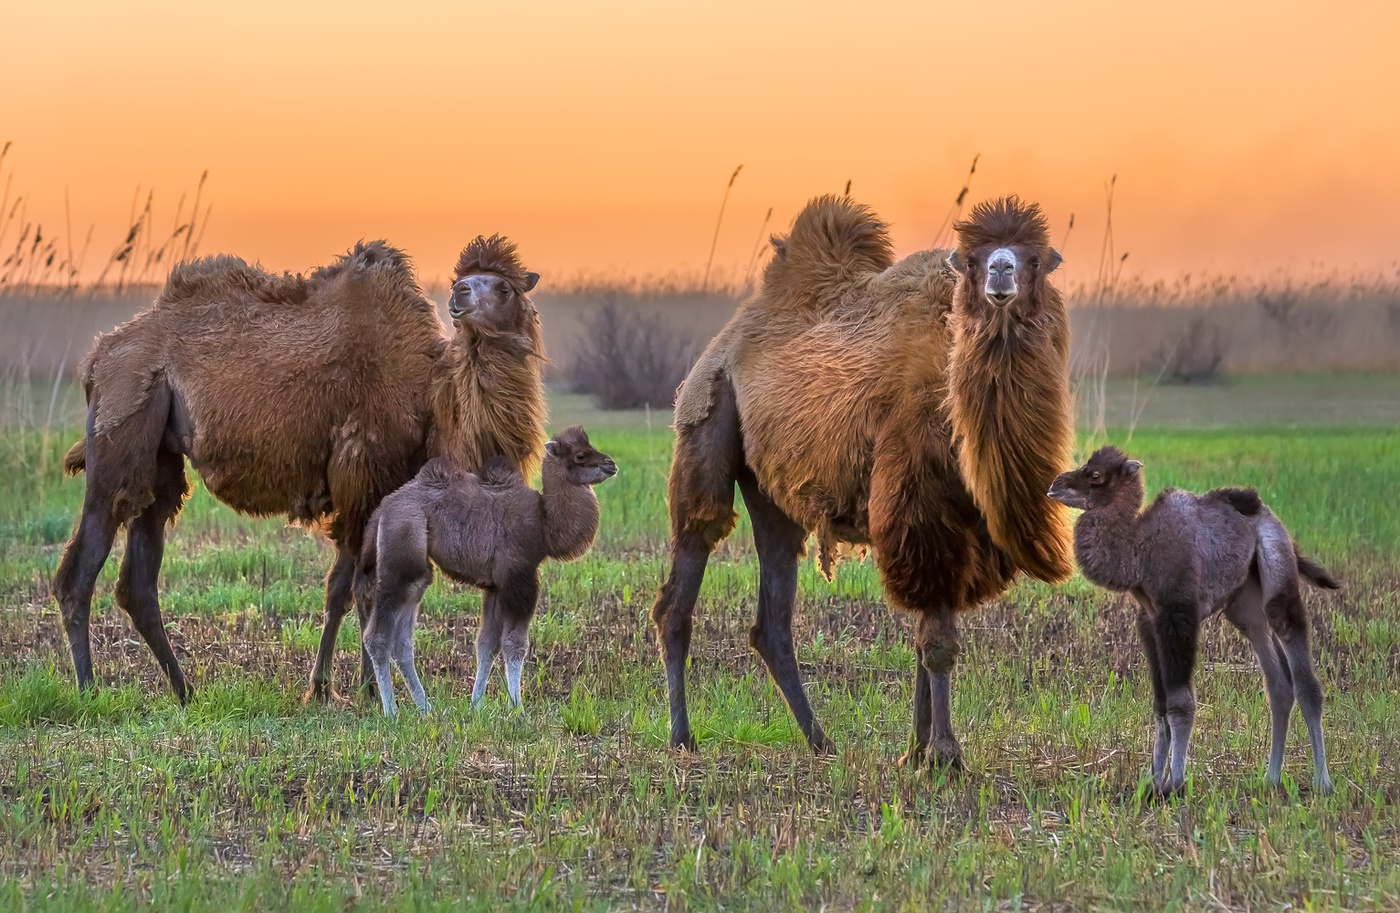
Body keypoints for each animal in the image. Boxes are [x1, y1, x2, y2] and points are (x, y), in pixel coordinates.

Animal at [57, 233, 546, 700]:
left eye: (504, 286)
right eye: (466, 280)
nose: (459, 294)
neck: (430, 401)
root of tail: (99, 359)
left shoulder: (365, 493)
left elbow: (339, 590)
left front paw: (325, 686)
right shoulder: (365, 480)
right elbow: (366, 589)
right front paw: (369, 690)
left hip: (160, 457)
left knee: (138, 576)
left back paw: (183, 691)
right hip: (122, 424)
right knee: (82, 565)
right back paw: (88, 688)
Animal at [358, 428, 616, 722]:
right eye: (580, 455)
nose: (611, 464)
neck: (544, 523)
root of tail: (382, 510)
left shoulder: (496, 586)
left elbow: (487, 645)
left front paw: (476, 705)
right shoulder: (519, 577)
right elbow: (515, 644)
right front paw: (518, 708)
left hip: (416, 573)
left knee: (402, 640)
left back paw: (425, 708)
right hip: (399, 553)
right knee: (378, 635)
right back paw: (391, 712)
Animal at [652, 196, 1069, 767]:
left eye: (1034, 259)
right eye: (973, 258)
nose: (1000, 273)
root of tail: (721, 346)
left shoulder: (960, 526)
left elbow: (925, 635)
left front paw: (916, 751)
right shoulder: (919, 508)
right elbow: (938, 642)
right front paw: (944, 756)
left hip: (772, 493)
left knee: (772, 612)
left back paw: (820, 740)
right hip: (706, 421)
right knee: (688, 569)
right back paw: (683, 737)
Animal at [1052, 445, 1332, 795]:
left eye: (1095, 475)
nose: (1055, 485)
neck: (1139, 550)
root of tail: (1274, 521)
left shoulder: (1179, 614)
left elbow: (1179, 703)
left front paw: (1176, 782)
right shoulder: (1149, 619)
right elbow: (1160, 704)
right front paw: (1153, 782)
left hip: (1277, 561)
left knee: (1302, 671)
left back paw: (1323, 782)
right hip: (1245, 602)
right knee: (1277, 681)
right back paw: (1270, 778)